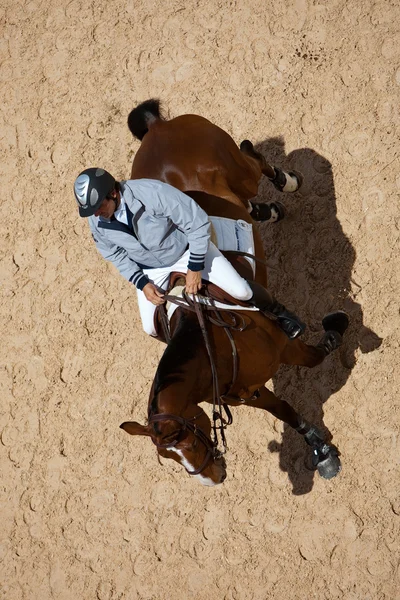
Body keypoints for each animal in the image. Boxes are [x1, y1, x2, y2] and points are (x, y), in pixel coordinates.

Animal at [120, 101, 348, 486]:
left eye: (187, 439)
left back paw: (287, 182)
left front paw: (336, 329)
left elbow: (318, 355)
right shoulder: (250, 391)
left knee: (252, 157)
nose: (211, 480)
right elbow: (287, 413)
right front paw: (321, 451)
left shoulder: (288, 349)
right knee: (246, 199)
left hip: (241, 171)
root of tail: (158, 129)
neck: (213, 351)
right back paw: (267, 211)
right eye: (168, 457)